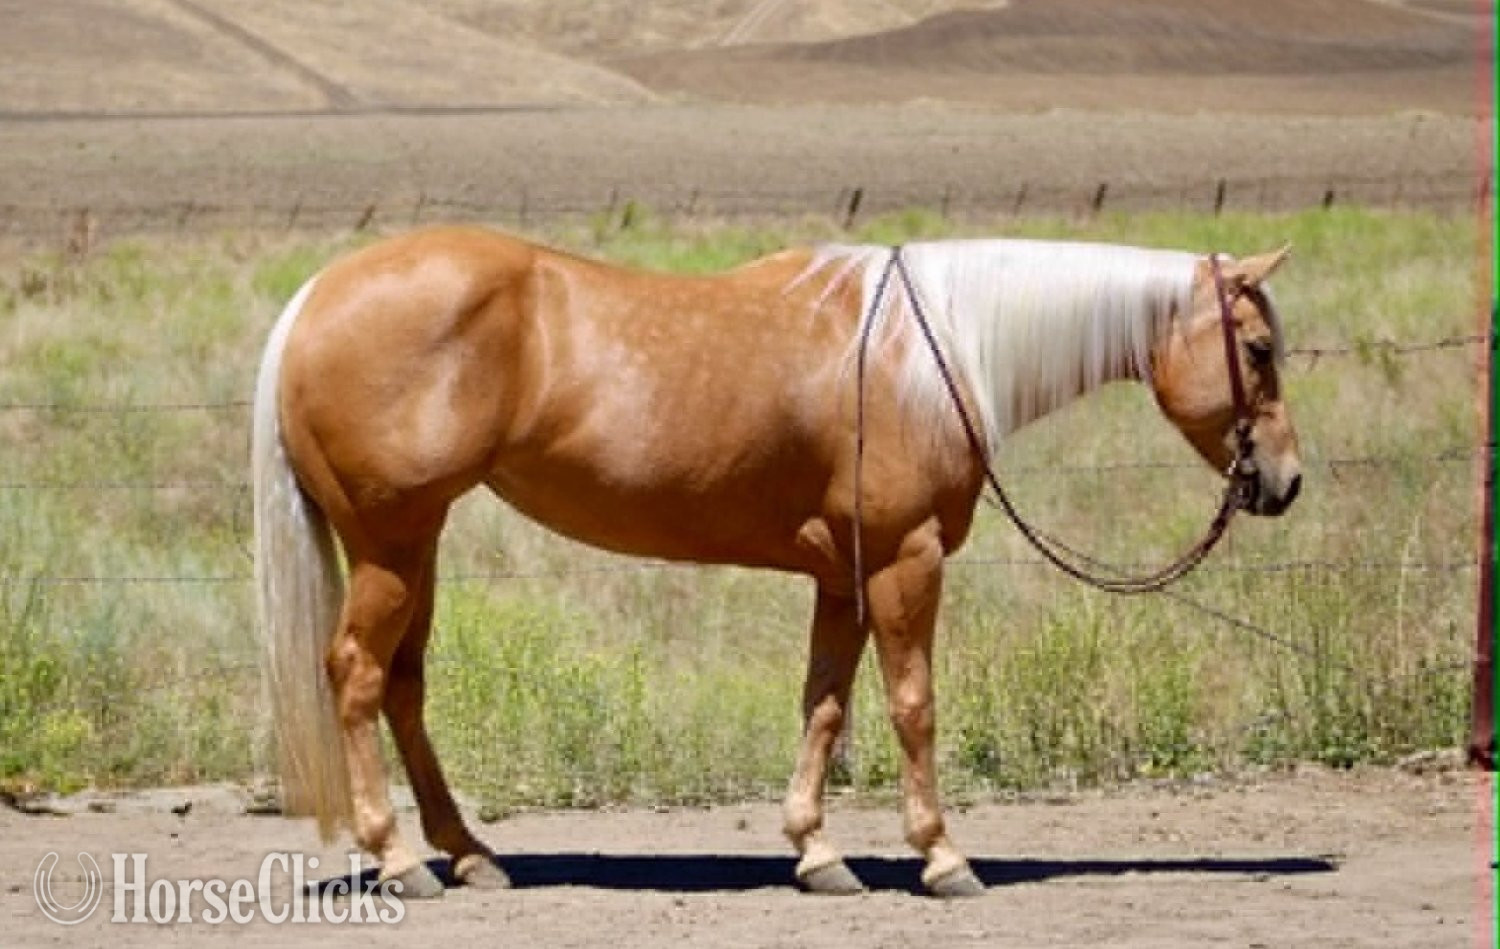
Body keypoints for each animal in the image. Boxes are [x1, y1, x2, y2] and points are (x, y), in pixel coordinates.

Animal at [252, 227, 1301, 899]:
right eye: (1257, 347)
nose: (1285, 481)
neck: (929, 351)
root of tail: (316, 297)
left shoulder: (844, 576)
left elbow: (825, 705)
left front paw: (817, 851)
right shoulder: (905, 561)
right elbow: (913, 704)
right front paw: (942, 857)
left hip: (413, 544)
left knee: (404, 684)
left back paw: (469, 853)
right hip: (390, 544)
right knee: (357, 675)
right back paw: (400, 860)